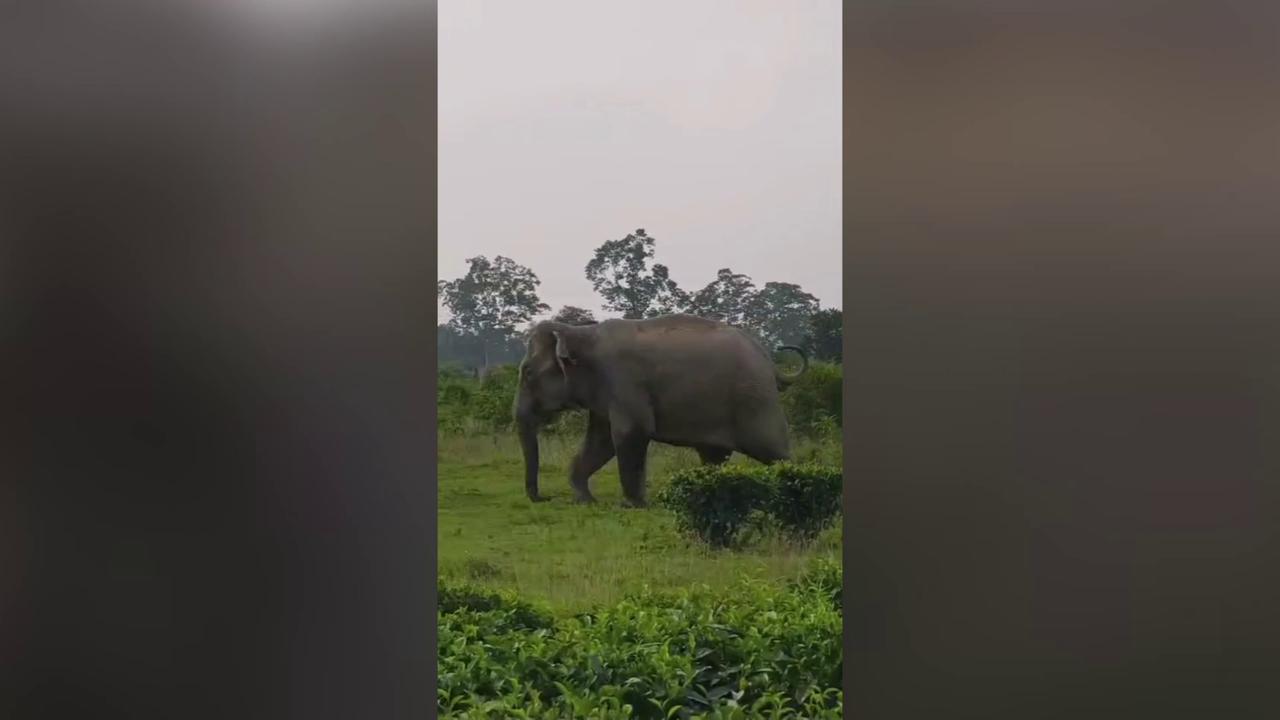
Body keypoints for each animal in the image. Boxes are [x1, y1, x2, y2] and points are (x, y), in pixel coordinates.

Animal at [513, 313, 808, 506]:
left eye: (527, 373)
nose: (544, 497)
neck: (581, 332)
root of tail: (769, 360)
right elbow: (601, 441)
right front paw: (585, 500)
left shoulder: (625, 381)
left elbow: (630, 433)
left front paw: (632, 505)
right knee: (714, 455)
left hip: (755, 403)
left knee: (774, 452)